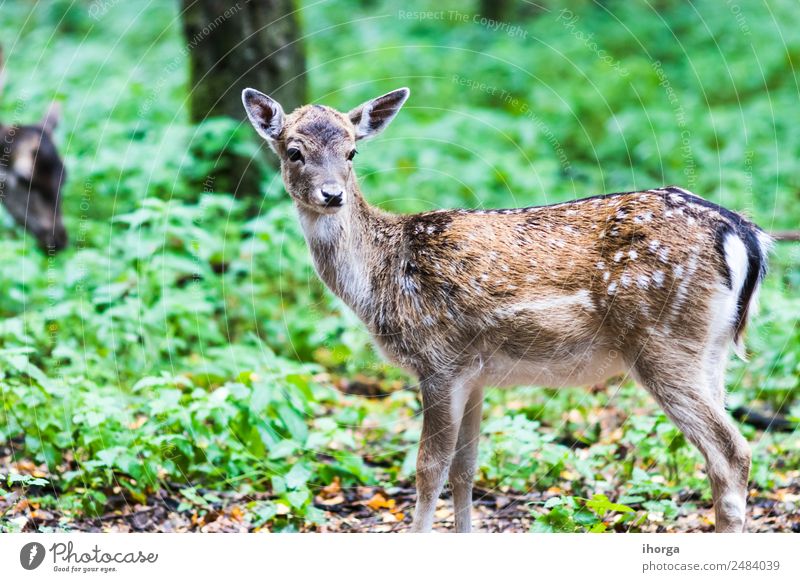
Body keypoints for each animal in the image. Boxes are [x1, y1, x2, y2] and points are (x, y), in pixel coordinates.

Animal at [242, 84, 768, 536]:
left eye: (352, 152)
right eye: (294, 151)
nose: (333, 194)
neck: (382, 277)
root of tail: (746, 236)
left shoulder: (437, 360)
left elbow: (428, 469)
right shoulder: (474, 373)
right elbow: (465, 469)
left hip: (662, 342)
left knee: (732, 452)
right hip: (711, 351)